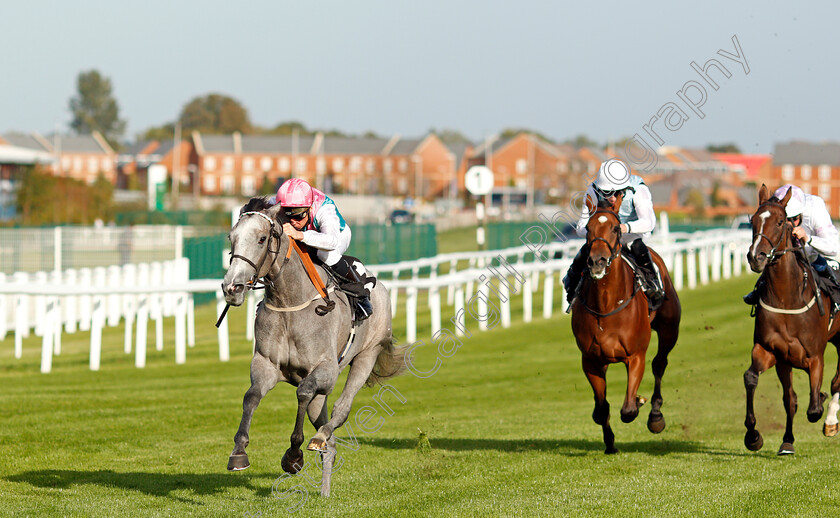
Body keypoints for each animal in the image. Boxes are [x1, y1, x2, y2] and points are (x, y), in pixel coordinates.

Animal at [220, 197, 404, 498]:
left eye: (261, 238)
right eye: (231, 238)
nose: (231, 288)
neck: (290, 302)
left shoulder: (326, 370)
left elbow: (303, 391)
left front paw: (294, 455)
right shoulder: (265, 365)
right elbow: (251, 397)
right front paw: (238, 453)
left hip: (367, 355)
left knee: (340, 411)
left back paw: (319, 439)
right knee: (329, 437)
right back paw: (325, 486)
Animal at [572, 195, 684, 456]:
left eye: (615, 228)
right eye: (588, 229)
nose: (597, 262)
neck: (606, 305)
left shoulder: (635, 356)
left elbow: (628, 410)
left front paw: (641, 403)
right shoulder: (591, 360)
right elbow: (602, 408)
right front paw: (610, 443)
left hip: (669, 330)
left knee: (659, 364)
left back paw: (655, 415)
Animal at [740, 186, 840, 456]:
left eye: (780, 222)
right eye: (753, 221)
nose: (756, 257)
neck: (787, 298)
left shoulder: (815, 356)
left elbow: (814, 407)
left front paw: (821, 402)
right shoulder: (774, 352)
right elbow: (764, 385)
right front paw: (757, 436)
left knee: (837, 383)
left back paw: (830, 421)